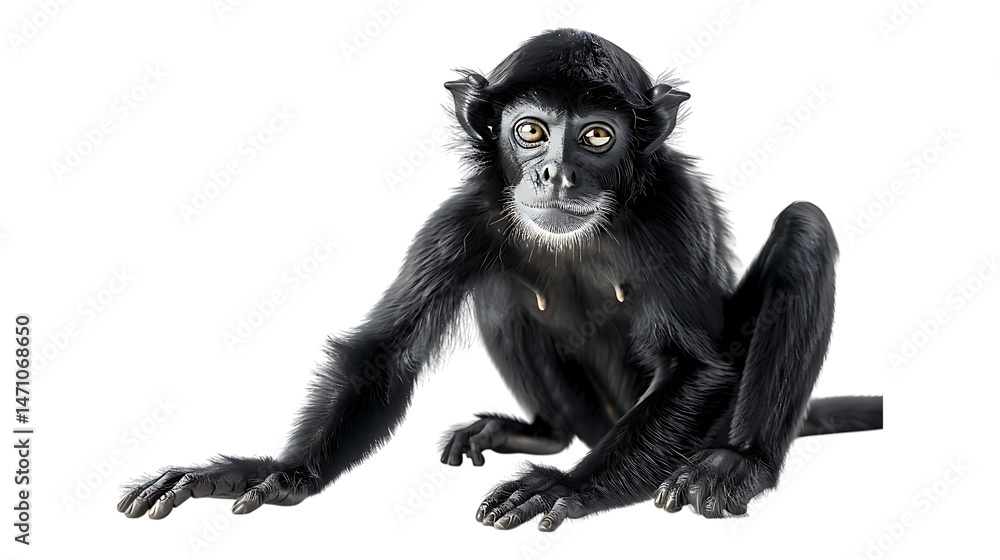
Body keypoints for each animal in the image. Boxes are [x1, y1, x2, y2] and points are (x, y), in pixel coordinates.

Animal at [118, 29, 882, 530]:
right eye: (532, 131)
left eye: (597, 136)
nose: (555, 175)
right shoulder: (463, 218)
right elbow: (385, 353)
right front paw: (275, 474)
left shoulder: (674, 207)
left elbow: (697, 366)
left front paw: (569, 491)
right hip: (589, 407)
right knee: (502, 295)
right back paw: (541, 434)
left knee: (806, 231)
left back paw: (737, 465)